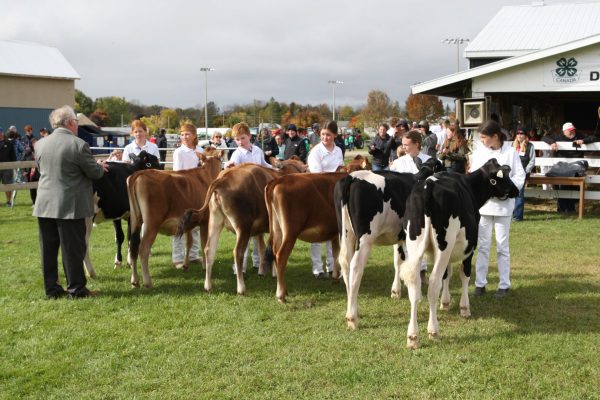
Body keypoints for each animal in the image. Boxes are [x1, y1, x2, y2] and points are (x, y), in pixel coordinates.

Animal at [126, 151, 223, 288]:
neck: (207, 175)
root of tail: (139, 173)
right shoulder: (205, 220)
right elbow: (204, 244)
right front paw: (205, 266)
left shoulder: (189, 222)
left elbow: (189, 243)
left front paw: (186, 265)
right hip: (151, 224)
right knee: (143, 249)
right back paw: (147, 282)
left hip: (135, 220)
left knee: (133, 247)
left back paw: (135, 280)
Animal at [173, 159, 304, 294]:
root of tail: (222, 179)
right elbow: (272, 248)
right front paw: (274, 273)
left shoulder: (259, 229)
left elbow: (262, 247)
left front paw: (262, 271)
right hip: (243, 226)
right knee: (238, 252)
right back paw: (241, 287)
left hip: (215, 222)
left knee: (209, 250)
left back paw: (208, 286)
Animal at [266, 155, 372, 302]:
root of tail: (277, 181)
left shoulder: (336, 232)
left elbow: (335, 253)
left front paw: (335, 277)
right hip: (290, 232)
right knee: (281, 256)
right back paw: (281, 295)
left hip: (277, 230)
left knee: (275, 253)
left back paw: (284, 290)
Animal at [332, 168, 432, 332]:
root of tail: (351, 177)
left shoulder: (398, 236)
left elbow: (398, 261)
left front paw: (396, 291)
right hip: (365, 239)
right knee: (356, 266)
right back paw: (352, 318)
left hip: (346, 233)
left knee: (345, 264)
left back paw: (352, 308)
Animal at [398, 158, 520, 348]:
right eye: (505, 176)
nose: (517, 190)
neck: (469, 186)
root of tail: (427, 185)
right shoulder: (469, 248)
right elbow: (464, 275)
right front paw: (464, 308)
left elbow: (447, 274)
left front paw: (446, 302)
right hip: (443, 245)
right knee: (433, 284)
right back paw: (433, 331)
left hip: (414, 245)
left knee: (414, 284)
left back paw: (413, 336)